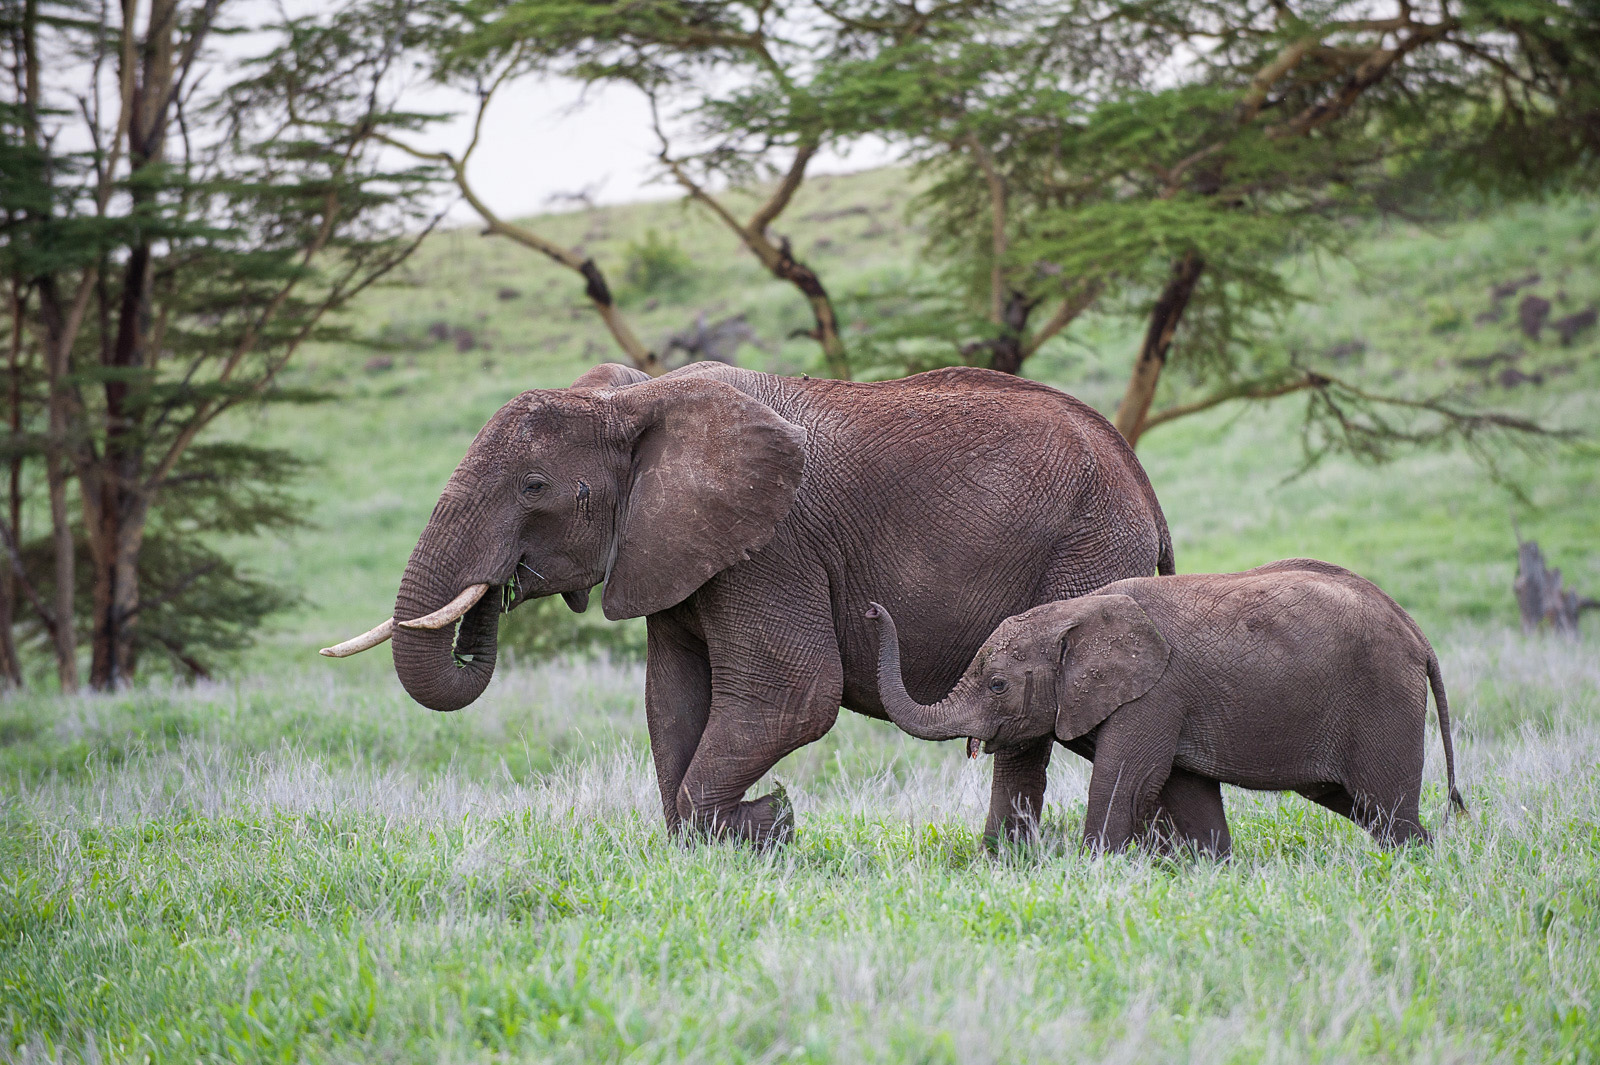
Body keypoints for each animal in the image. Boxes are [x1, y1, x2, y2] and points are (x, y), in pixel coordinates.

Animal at [324, 361, 1184, 844]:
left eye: (535, 487)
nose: (500, 587)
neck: (636, 402)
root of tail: (1142, 480)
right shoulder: (675, 546)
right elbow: (672, 698)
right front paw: (723, 839)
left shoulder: (773, 545)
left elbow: (790, 696)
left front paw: (768, 823)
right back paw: (1005, 861)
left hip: (1086, 550)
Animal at [870, 556, 1465, 857]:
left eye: (996, 685)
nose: (875, 609)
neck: (1077, 612)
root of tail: (1418, 635)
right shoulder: (1173, 703)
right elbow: (1185, 788)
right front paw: (1215, 869)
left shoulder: (1157, 693)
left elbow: (1129, 779)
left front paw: (1092, 869)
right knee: (1363, 807)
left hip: (1382, 698)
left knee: (1384, 806)